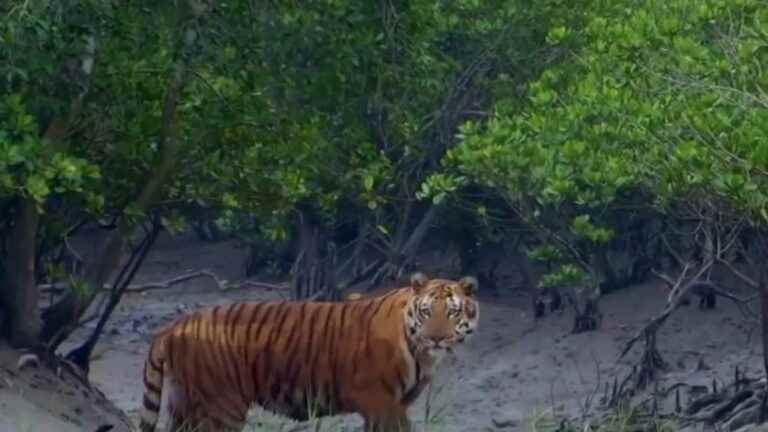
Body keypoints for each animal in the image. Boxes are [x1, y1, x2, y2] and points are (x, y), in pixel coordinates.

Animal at [135, 272, 476, 430]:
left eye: (453, 312)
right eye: (428, 312)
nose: (436, 338)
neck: (422, 353)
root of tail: (172, 325)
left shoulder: (394, 404)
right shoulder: (380, 402)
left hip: (184, 403)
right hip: (221, 406)